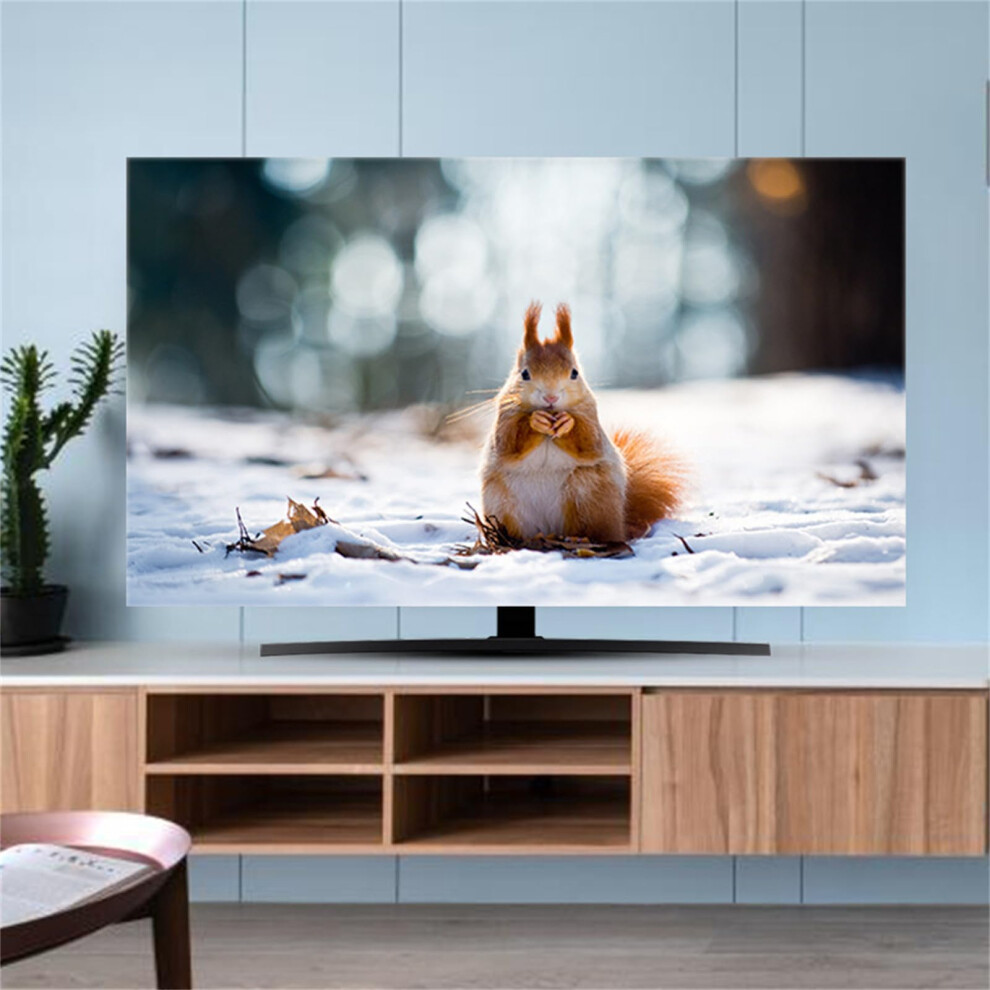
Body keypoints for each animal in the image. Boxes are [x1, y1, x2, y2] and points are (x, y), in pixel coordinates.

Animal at [480, 302, 683, 544]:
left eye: (574, 373)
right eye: (524, 374)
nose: (551, 397)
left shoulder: (591, 417)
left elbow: (588, 443)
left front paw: (567, 423)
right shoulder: (504, 417)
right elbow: (508, 443)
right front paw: (534, 421)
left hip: (588, 494)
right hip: (501, 503)